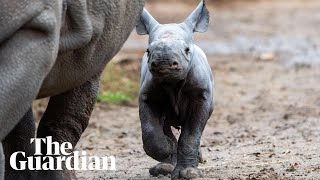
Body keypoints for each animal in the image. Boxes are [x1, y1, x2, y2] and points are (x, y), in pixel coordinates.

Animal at [136, 0, 214, 179]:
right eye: (148, 51)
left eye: (187, 50)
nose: (163, 62)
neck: (173, 83)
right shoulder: (147, 96)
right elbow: (150, 130)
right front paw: (167, 148)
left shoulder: (201, 95)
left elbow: (191, 135)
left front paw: (188, 173)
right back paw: (164, 166)